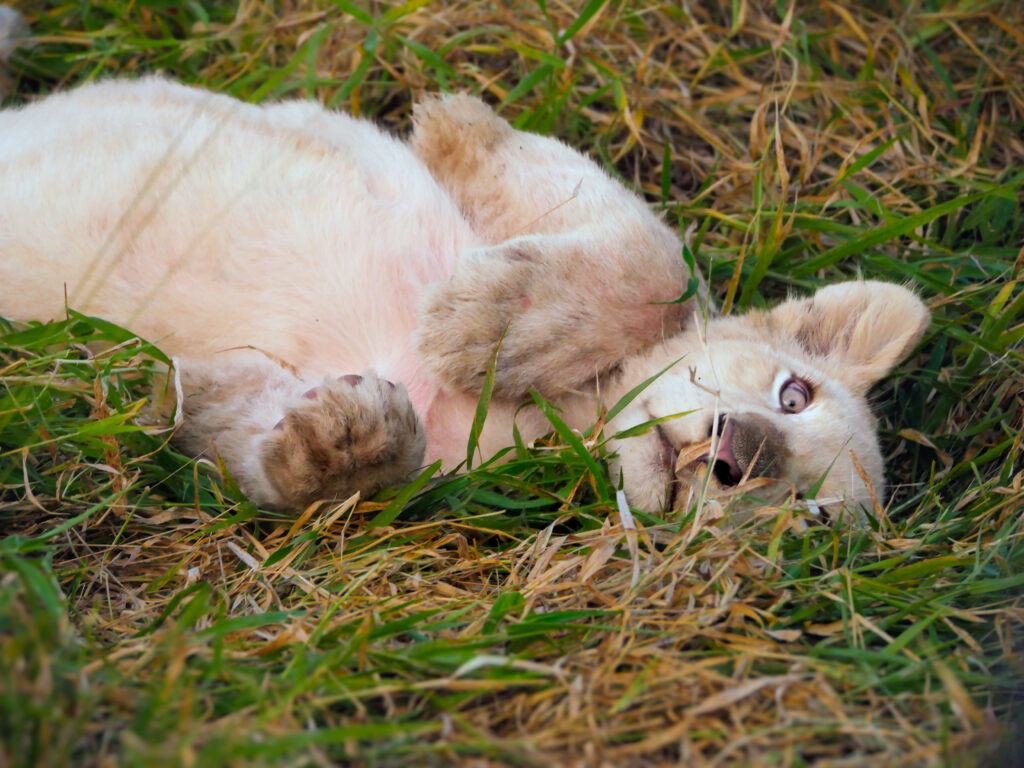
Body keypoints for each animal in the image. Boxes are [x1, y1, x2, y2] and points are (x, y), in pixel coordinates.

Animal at [0, 77, 930, 520]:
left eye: (808, 515)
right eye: (794, 394)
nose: (740, 455)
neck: (576, 416)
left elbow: (237, 434)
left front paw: (341, 445)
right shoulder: (550, 191)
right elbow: (654, 260)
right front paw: (480, 325)